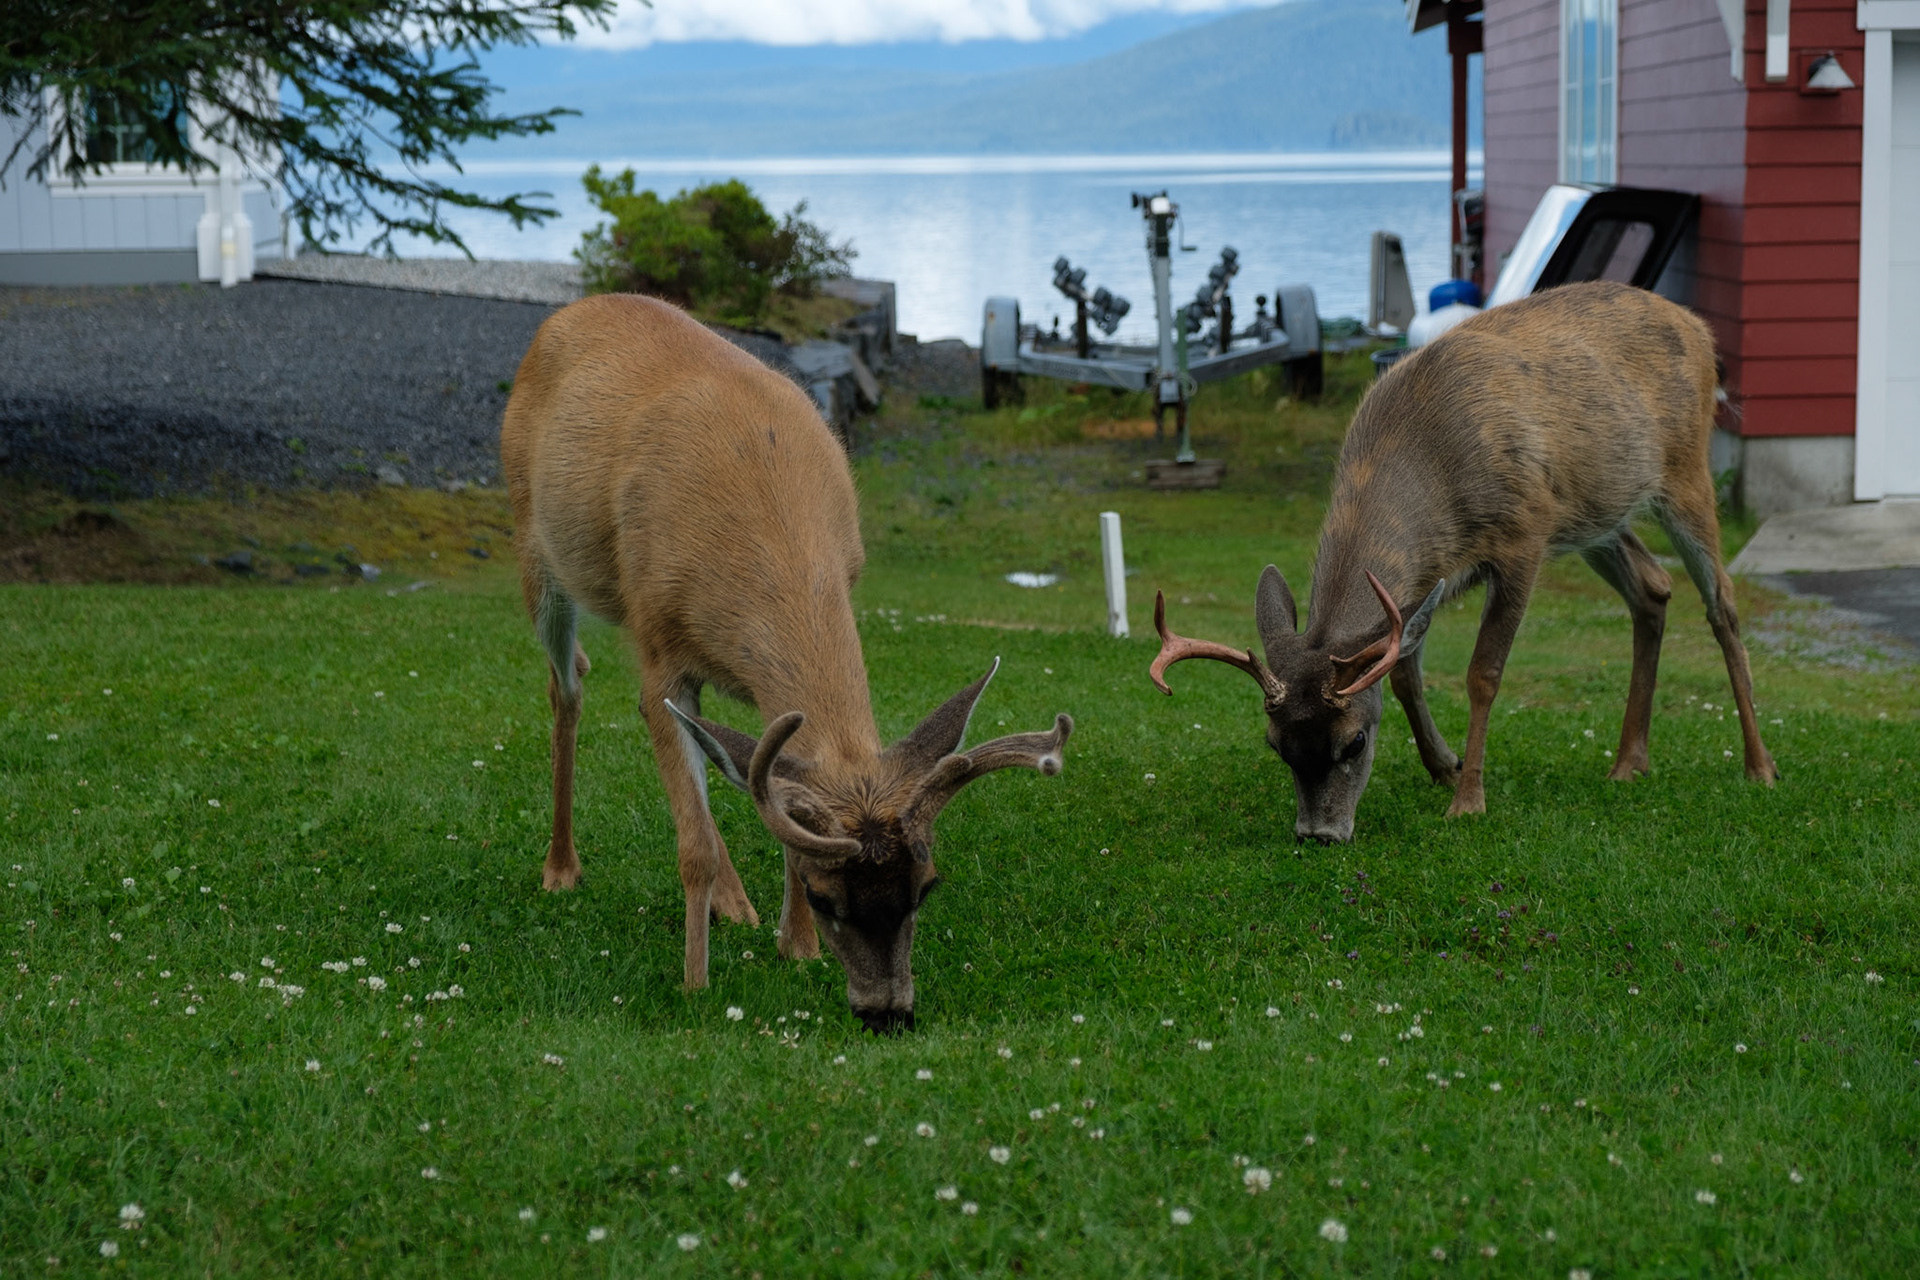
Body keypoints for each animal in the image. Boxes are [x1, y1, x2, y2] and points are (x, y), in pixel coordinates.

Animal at [500, 293, 1072, 1033]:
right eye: (828, 896)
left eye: (926, 888)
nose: (888, 1013)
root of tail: (575, 308)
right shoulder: (657, 649)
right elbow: (693, 843)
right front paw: (695, 984)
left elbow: (769, 793)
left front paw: (794, 946)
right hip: (533, 544)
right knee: (567, 685)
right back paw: (562, 866)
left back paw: (736, 906)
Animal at [1150, 281, 1776, 844]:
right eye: (1276, 746)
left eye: (1354, 741)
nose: (1318, 834)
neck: (1423, 455)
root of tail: (1697, 327)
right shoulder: (1434, 574)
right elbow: (1404, 669)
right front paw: (1443, 766)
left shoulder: (1523, 535)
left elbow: (1484, 673)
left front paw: (1469, 799)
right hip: (1595, 517)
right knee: (1652, 586)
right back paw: (1629, 762)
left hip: (1684, 472)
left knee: (1722, 603)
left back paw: (1758, 765)